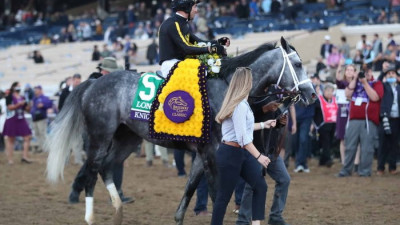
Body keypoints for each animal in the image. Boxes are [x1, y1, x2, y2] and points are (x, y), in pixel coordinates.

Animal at [46, 37, 316, 224]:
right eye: (298, 64)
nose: (312, 94)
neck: (227, 88)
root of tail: (94, 82)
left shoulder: (201, 155)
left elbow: (189, 192)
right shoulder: (212, 154)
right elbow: (216, 193)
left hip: (127, 140)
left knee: (107, 168)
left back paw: (118, 209)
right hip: (99, 138)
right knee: (92, 171)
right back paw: (90, 216)